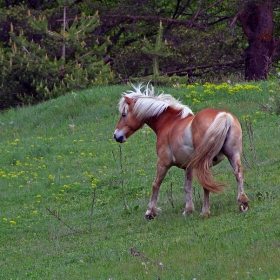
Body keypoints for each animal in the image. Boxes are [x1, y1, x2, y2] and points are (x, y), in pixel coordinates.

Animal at [114, 83, 249, 219]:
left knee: (206, 182)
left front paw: (150, 212)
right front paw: (188, 210)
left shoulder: (163, 163)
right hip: (232, 155)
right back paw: (242, 203)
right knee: (237, 173)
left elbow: (156, 184)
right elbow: (187, 186)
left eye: (124, 114)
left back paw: (205, 211)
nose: (116, 136)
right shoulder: (188, 166)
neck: (169, 123)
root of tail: (224, 115)